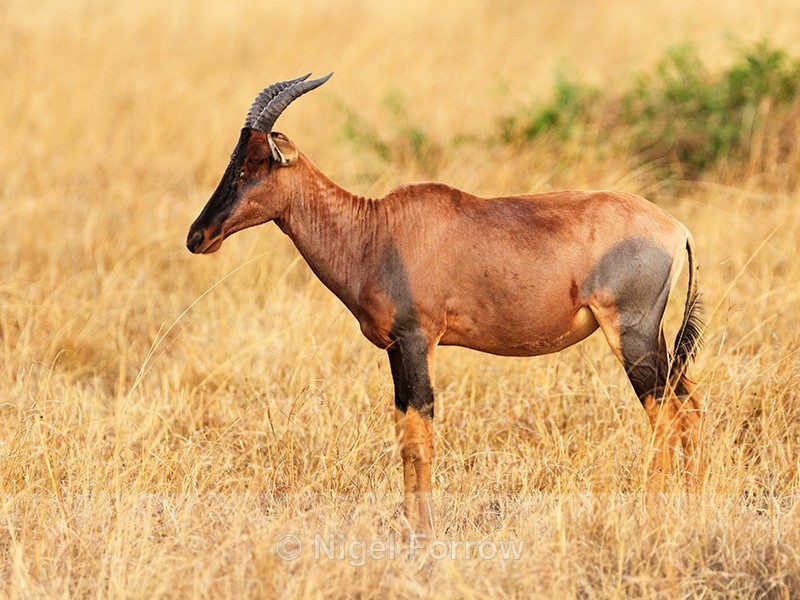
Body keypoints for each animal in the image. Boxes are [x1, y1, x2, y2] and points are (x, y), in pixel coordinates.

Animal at [186, 73, 705, 534]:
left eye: (255, 163)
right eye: (233, 159)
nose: (198, 236)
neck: (377, 229)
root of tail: (677, 229)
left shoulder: (419, 340)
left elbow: (421, 435)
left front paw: (424, 528)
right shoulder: (396, 349)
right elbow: (403, 432)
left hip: (631, 334)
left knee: (664, 416)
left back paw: (651, 515)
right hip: (655, 339)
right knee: (691, 406)